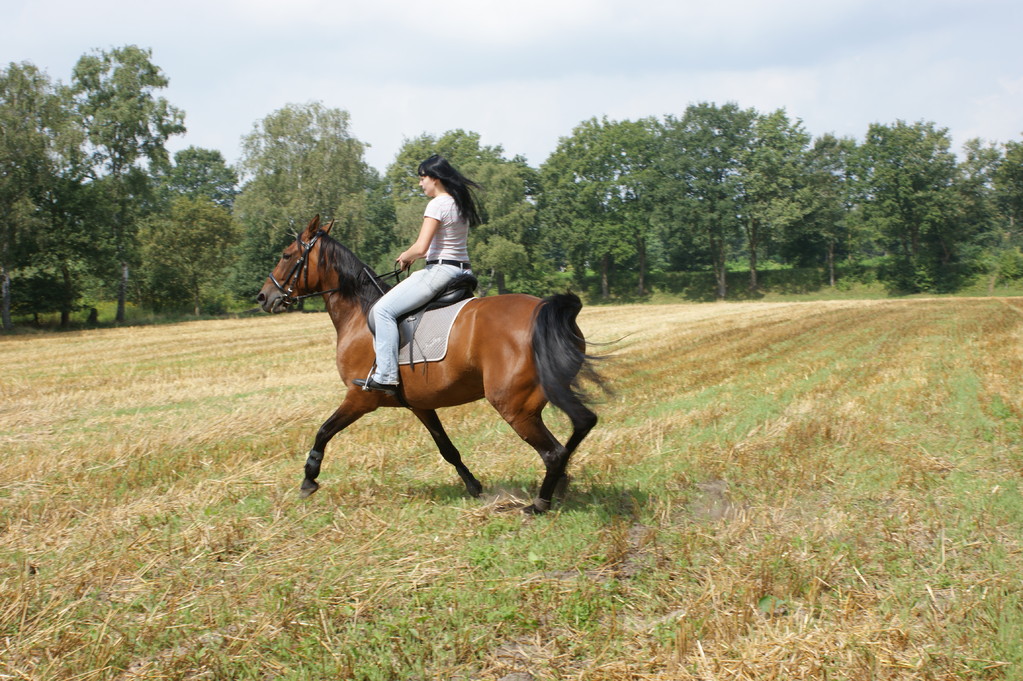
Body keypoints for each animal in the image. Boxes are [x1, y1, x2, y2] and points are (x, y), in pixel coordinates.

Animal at [255, 214, 601, 511]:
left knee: (553, 451)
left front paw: (308, 479)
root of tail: (547, 310)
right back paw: (559, 485)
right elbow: (447, 448)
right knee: (582, 424)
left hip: (514, 405)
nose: (263, 297)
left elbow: (323, 431)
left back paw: (540, 503)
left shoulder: (360, 398)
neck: (359, 314)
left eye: (286, 255)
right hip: (547, 393)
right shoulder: (420, 404)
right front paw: (474, 486)